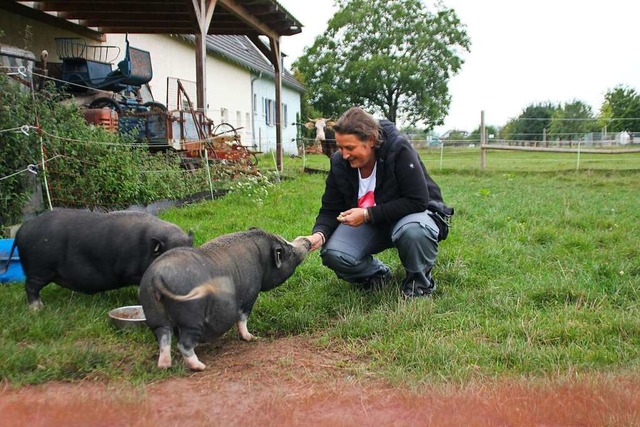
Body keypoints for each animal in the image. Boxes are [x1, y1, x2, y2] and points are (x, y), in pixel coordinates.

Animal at [139, 227, 312, 372]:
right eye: (288, 250)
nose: (307, 240)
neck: (261, 259)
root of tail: (157, 276)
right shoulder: (250, 294)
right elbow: (242, 318)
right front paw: (252, 338)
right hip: (191, 317)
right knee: (184, 344)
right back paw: (201, 366)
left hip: (154, 314)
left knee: (164, 338)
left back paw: (165, 366)